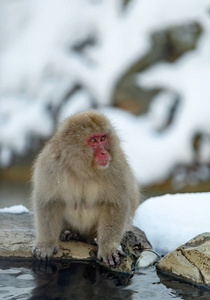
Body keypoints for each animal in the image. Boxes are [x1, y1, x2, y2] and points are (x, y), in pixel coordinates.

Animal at [32, 110, 140, 268]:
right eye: (93, 141)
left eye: (103, 138)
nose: (104, 153)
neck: (82, 169)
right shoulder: (51, 165)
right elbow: (48, 202)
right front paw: (46, 244)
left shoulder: (116, 167)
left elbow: (115, 204)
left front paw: (108, 248)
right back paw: (69, 233)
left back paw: (93, 238)